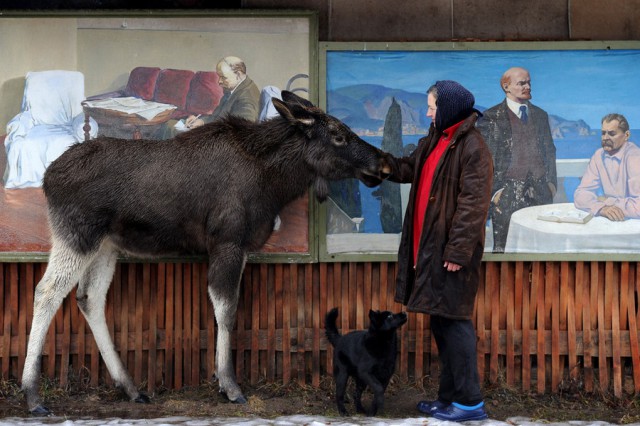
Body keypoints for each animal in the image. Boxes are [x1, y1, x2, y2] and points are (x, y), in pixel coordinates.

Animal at [20, 91, 390, 414]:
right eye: (338, 135)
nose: (384, 164)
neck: (274, 181)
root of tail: (47, 178)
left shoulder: (240, 247)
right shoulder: (227, 241)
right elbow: (226, 310)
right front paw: (229, 385)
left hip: (107, 245)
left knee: (89, 298)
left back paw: (131, 387)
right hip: (76, 234)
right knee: (46, 291)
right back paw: (32, 394)